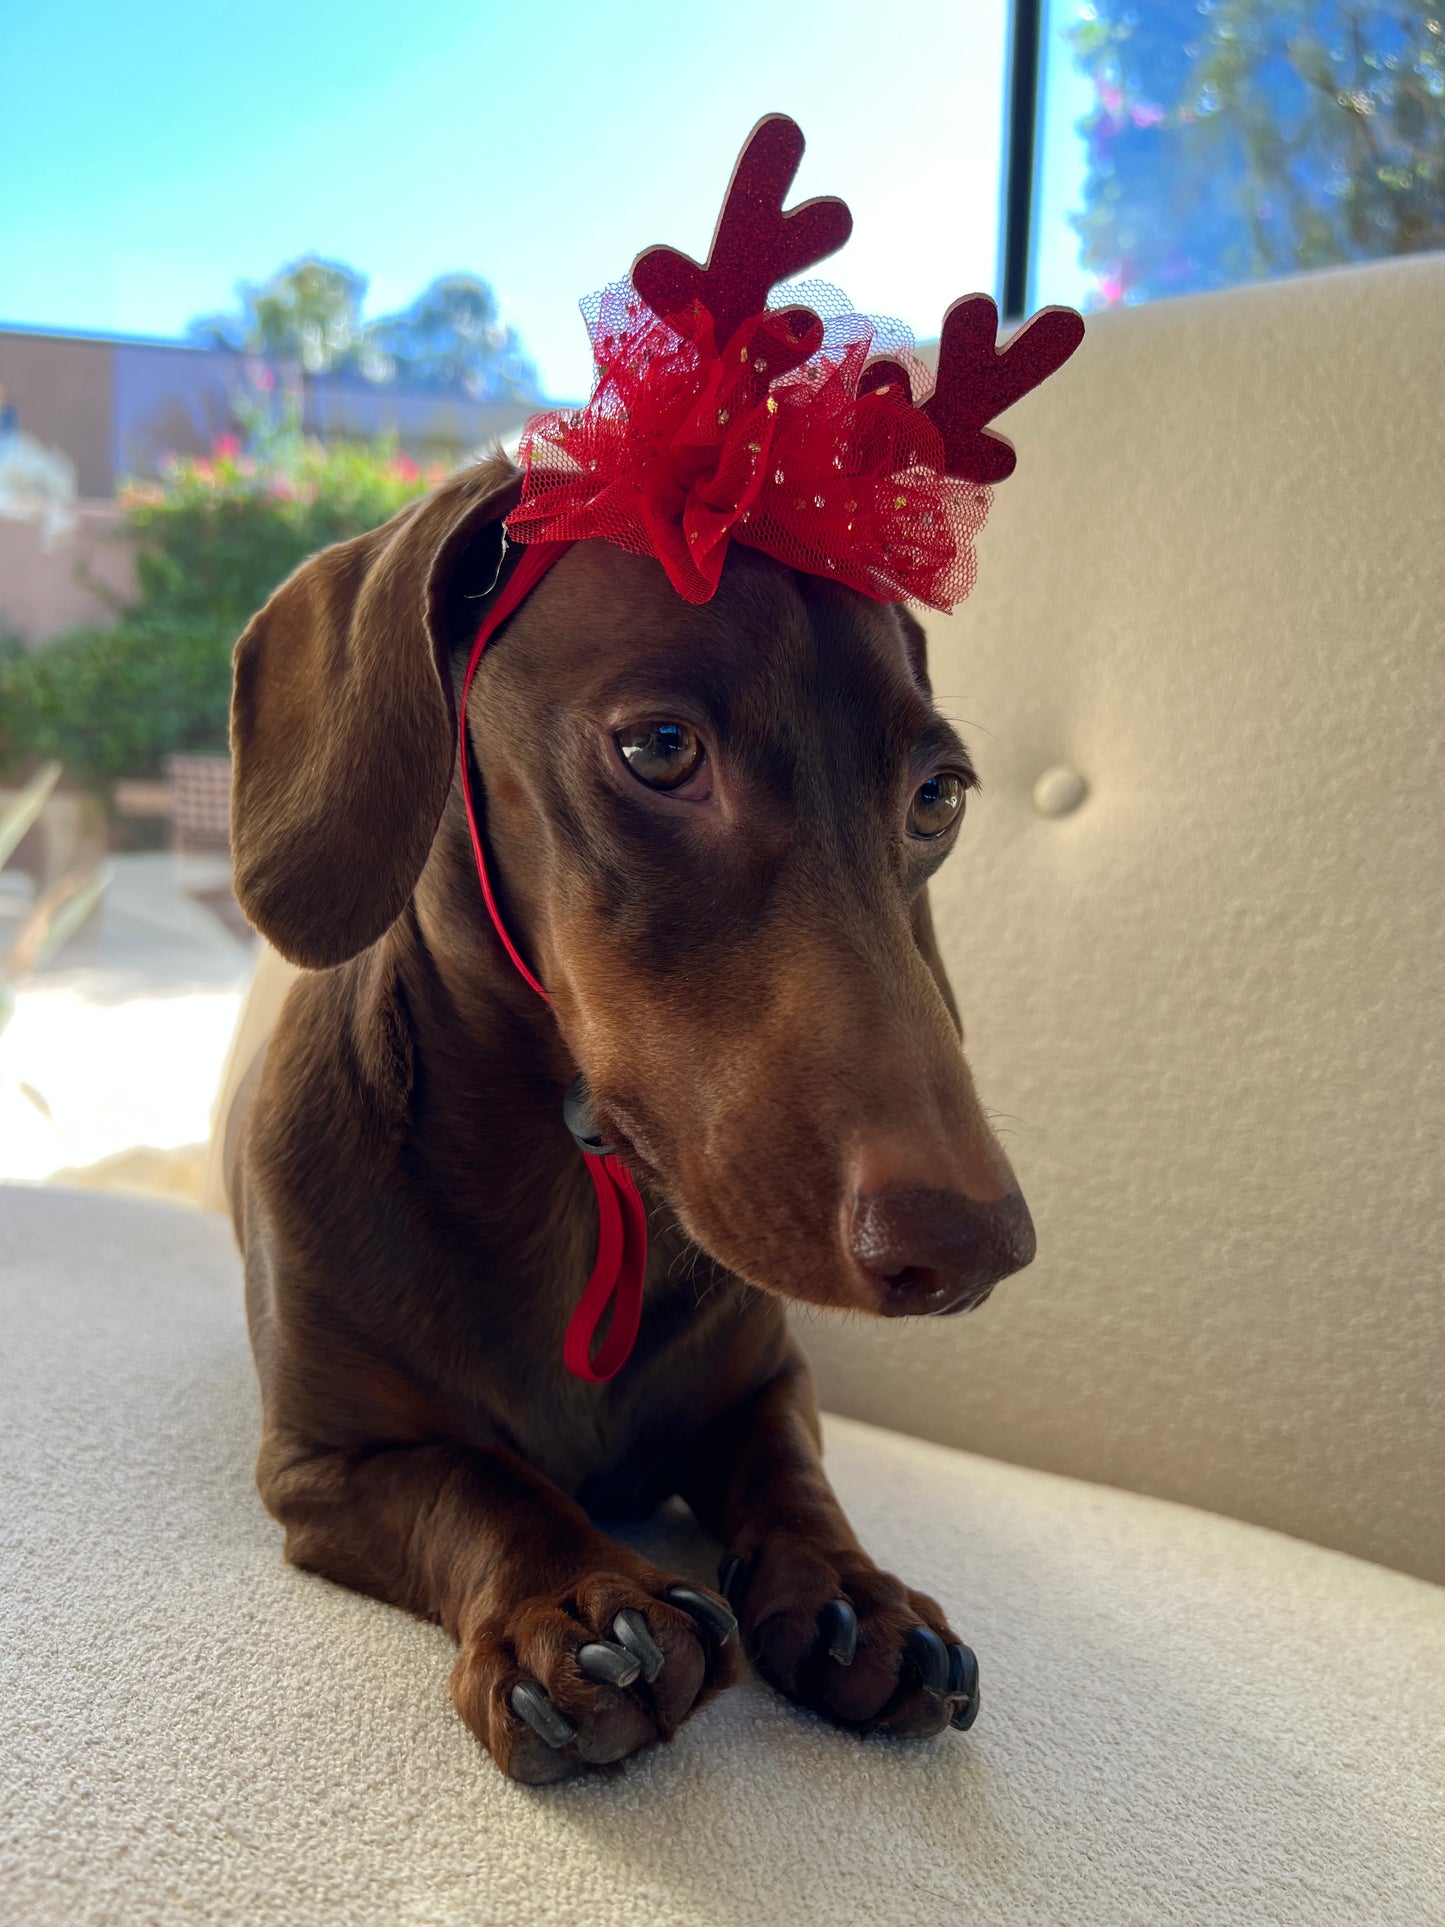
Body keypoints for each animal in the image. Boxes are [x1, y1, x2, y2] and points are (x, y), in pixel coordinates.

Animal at [226, 447, 1032, 1772]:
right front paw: (579, 1601)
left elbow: (791, 1471)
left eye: (939, 797)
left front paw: (853, 1592)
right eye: (659, 748)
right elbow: (479, 1483)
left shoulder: (767, 1383)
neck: (576, 1188)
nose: (971, 1249)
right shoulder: (326, 1462)